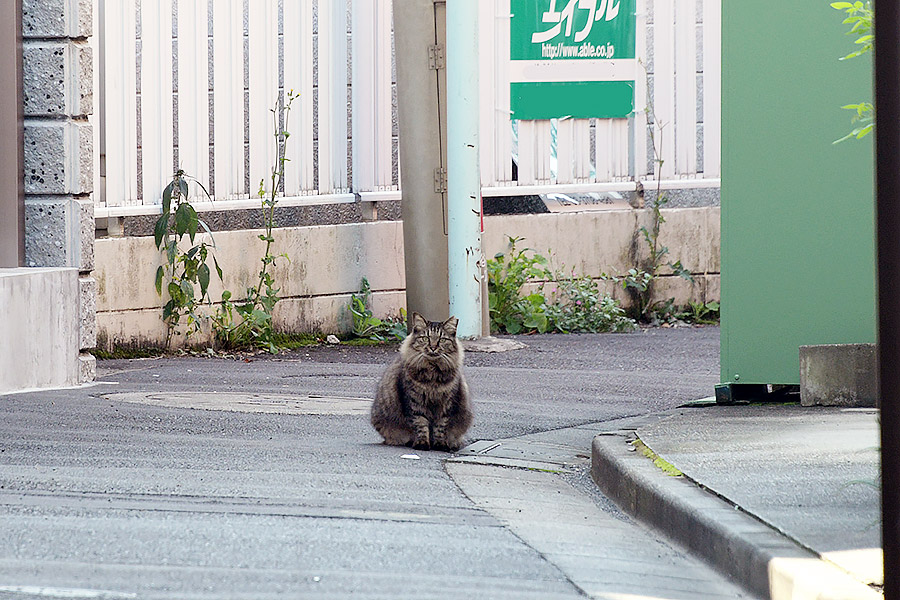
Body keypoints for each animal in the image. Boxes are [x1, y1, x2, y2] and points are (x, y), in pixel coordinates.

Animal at [370, 314, 474, 450]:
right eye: (425, 338)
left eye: (442, 340)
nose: (433, 347)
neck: (433, 376)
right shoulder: (415, 403)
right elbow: (421, 425)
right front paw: (422, 444)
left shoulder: (446, 405)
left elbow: (440, 427)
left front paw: (440, 445)